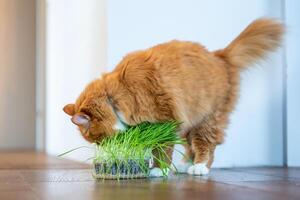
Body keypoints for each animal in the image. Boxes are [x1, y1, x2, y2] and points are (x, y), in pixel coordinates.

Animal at [63, 18, 284, 176]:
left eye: (98, 139)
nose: (106, 147)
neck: (116, 94)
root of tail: (219, 56)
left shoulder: (167, 120)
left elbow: (161, 150)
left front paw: (159, 169)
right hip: (191, 121)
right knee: (191, 146)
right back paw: (186, 165)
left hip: (207, 119)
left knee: (207, 147)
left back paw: (199, 168)